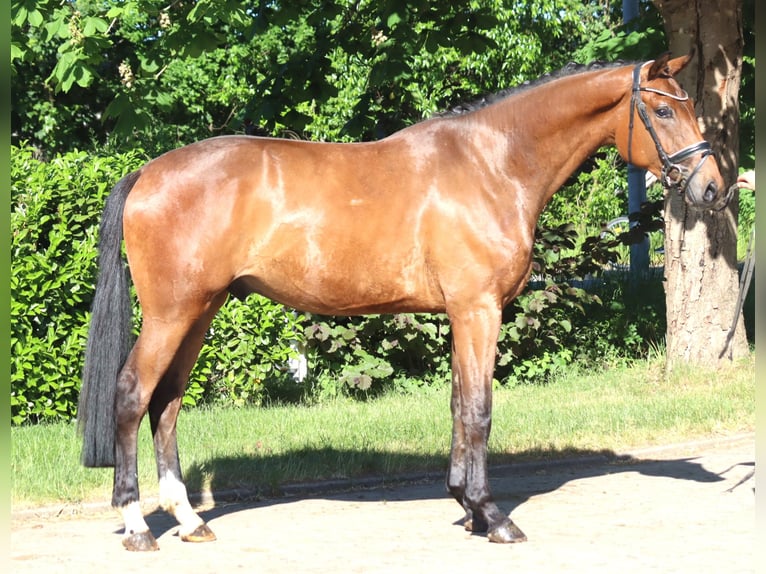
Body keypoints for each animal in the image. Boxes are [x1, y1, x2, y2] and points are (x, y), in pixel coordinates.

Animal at [77, 53, 728, 551]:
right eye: (664, 110)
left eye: (689, 106)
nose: (714, 188)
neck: (492, 163)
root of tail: (146, 173)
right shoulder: (479, 309)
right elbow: (478, 410)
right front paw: (494, 517)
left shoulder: (463, 314)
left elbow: (459, 405)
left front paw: (466, 506)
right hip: (173, 314)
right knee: (133, 395)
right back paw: (138, 527)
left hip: (200, 312)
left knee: (167, 403)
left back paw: (188, 520)